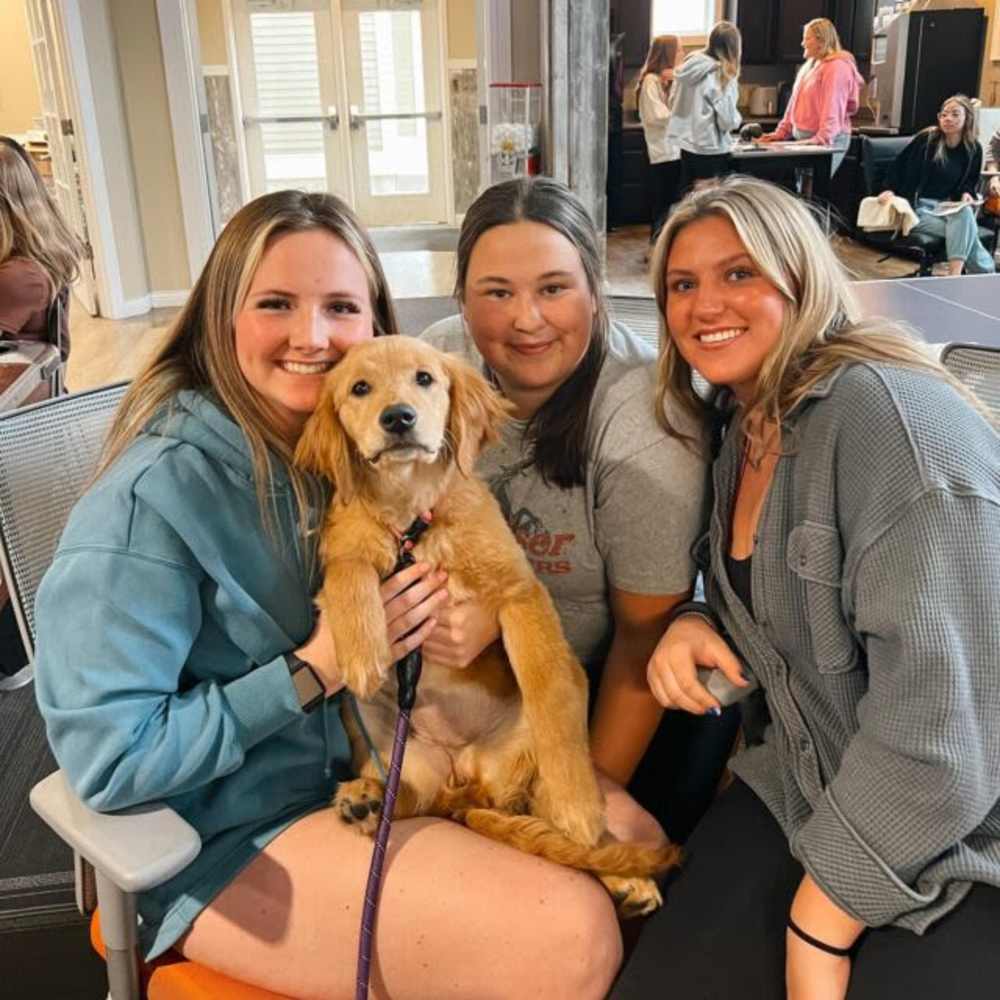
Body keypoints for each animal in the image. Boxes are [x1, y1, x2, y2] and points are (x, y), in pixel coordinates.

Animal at [292, 336, 676, 916]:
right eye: (359, 388)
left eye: (425, 378)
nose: (398, 418)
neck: (413, 517)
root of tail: (464, 779)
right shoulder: (344, 546)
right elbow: (349, 573)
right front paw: (362, 653)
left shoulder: (520, 594)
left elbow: (547, 686)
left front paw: (579, 806)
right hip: (379, 736)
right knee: (409, 800)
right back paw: (367, 799)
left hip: (523, 749)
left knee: (546, 808)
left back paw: (620, 871)